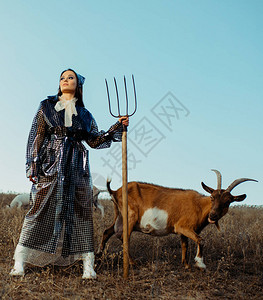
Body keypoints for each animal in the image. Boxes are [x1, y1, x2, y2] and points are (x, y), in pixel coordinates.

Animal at [98, 170, 258, 268]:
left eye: (227, 202)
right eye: (212, 197)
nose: (212, 216)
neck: (200, 205)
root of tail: (115, 191)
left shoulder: (184, 231)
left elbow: (184, 245)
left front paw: (186, 265)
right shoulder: (183, 227)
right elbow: (201, 240)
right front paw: (200, 263)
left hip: (119, 216)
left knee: (107, 231)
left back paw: (99, 254)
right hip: (129, 216)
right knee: (124, 237)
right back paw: (133, 263)